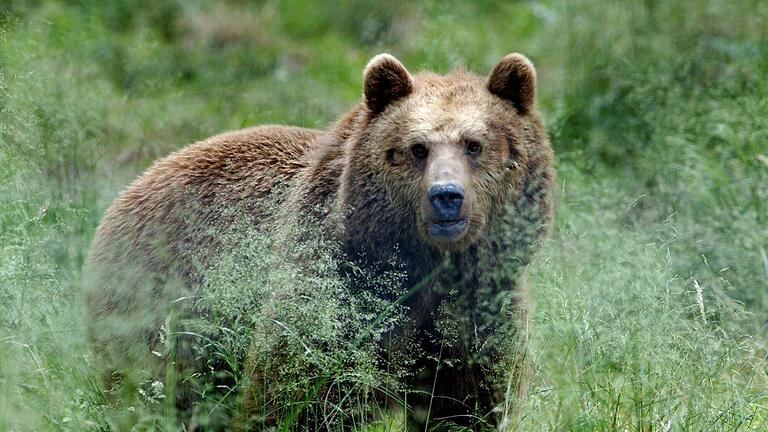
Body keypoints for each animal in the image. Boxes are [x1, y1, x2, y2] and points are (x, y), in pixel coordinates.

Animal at [84, 52, 552, 430]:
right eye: (416, 148)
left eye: (474, 144)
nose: (446, 197)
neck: (424, 268)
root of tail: (130, 189)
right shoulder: (337, 292)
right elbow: (298, 394)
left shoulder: (477, 312)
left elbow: (466, 406)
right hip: (163, 306)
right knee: (156, 392)